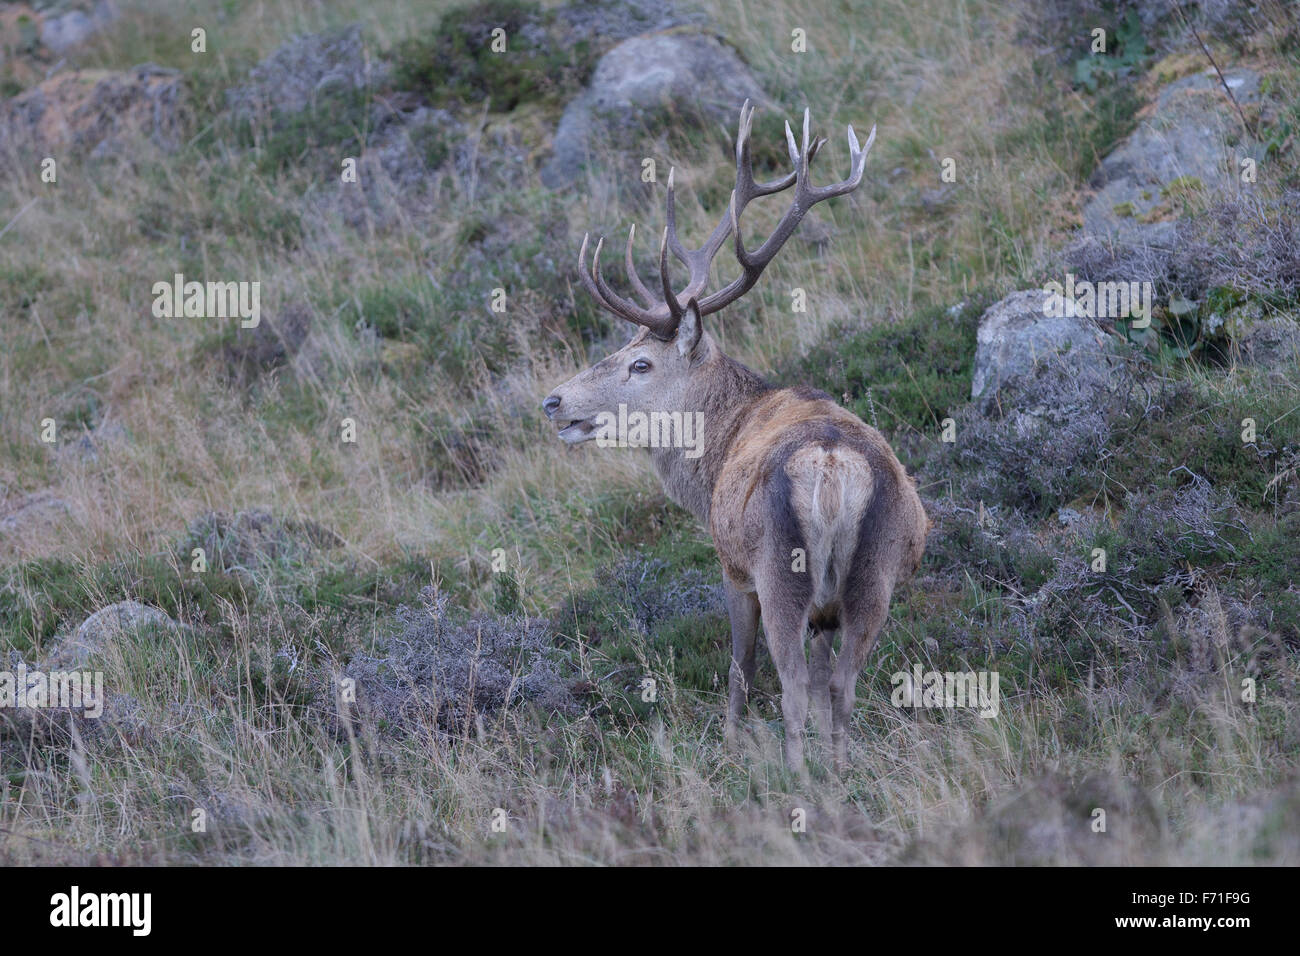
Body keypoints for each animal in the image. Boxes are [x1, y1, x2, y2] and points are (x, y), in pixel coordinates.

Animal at [542, 100, 929, 772]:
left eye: (640, 364)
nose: (554, 400)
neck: (716, 455)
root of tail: (834, 469)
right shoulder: (830, 608)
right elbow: (824, 685)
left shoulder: (730, 564)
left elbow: (739, 667)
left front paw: (729, 742)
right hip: (873, 576)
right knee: (842, 684)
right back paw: (838, 773)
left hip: (781, 569)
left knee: (791, 682)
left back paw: (793, 778)